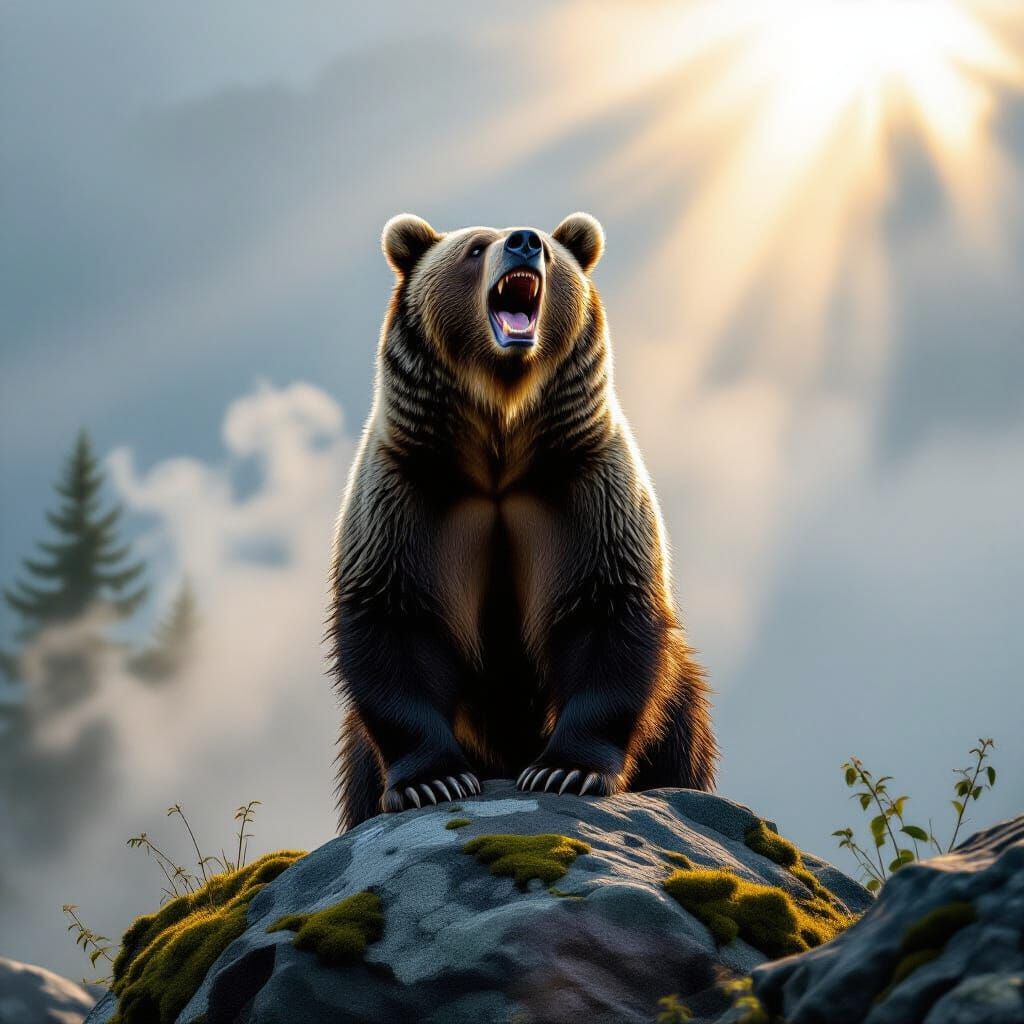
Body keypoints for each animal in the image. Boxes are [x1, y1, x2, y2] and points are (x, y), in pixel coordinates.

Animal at [330, 212, 718, 831]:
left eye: (553, 254)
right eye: (473, 248)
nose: (525, 241)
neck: (501, 442)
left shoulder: (582, 487)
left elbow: (605, 613)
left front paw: (566, 771)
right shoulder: (409, 493)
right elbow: (395, 621)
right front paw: (432, 781)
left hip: (678, 706)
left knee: (682, 721)